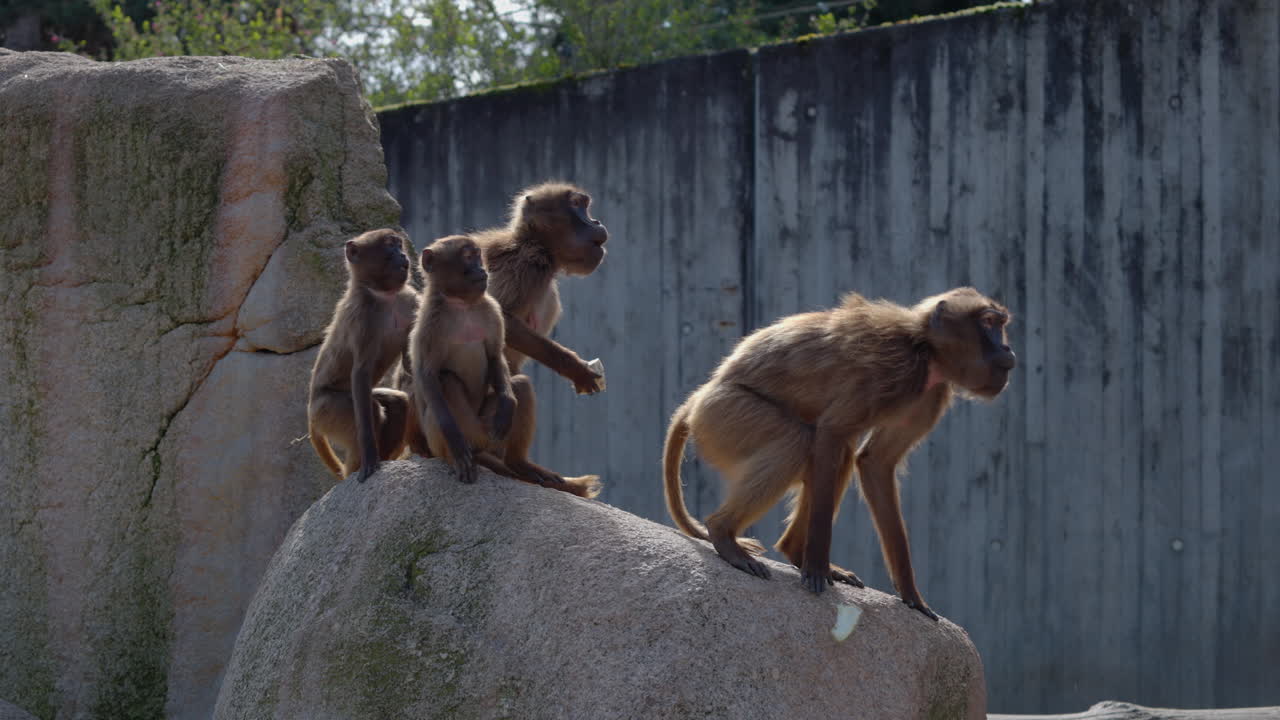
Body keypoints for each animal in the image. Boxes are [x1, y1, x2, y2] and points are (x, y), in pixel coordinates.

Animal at [307, 228, 419, 483]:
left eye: (398, 244)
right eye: (389, 246)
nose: (402, 255)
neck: (384, 295)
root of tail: (310, 411)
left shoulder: (410, 301)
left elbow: (410, 365)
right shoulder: (363, 317)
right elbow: (360, 371)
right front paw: (369, 457)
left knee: (397, 404)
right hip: (327, 410)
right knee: (373, 412)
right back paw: (357, 470)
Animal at [410, 235, 599, 499]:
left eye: (478, 255)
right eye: (467, 256)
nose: (482, 269)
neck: (462, 305)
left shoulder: (491, 310)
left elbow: (494, 357)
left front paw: (508, 403)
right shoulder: (430, 322)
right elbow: (428, 375)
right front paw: (455, 442)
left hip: (490, 431)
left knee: (520, 385)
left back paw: (519, 463)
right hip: (449, 437)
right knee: (447, 381)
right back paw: (460, 455)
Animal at [465, 181, 608, 496]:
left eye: (586, 206)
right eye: (578, 206)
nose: (597, 222)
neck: (538, 245)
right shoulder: (528, 265)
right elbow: (500, 318)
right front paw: (576, 369)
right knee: (519, 389)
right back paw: (517, 465)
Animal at [662, 287, 1016, 620]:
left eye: (1001, 324)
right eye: (988, 322)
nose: (1008, 350)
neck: (926, 348)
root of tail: (698, 398)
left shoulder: (930, 395)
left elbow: (875, 463)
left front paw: (912, 596)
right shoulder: (891, 371)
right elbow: (831, 432)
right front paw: (817, 568)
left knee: (836, 454)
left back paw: (792, 550)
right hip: (725, 416)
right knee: (798, 442)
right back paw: (724, 534)